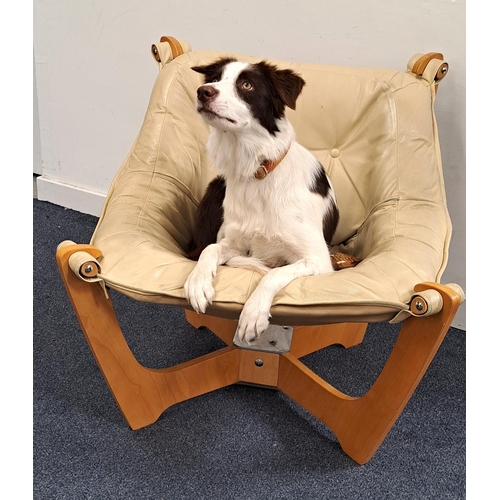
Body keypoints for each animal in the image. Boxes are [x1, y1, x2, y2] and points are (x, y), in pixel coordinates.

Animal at [184, 57, 340, 344]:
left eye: (247, 85)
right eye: (215, 79)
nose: (203, 92)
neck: (256, 172)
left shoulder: (319, 260)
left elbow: (274, 273)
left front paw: (253, 312)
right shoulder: (235, 241)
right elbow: (210, 249)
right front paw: (198, 283)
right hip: (216, 186)